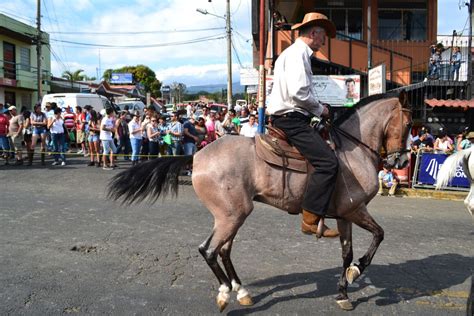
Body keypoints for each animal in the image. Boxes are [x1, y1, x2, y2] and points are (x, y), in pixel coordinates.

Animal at [106, 90, 412, 312]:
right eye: (409, 124)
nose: (402, 162)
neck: (353, 149)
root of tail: (197, 157)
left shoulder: (344, 214)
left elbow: (347, 252)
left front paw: (344, 290)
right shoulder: (356, 209)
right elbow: (379, 235)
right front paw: (357, 272)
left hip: (232, 215)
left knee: (224, 251)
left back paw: (241, 291)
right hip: (232, 215)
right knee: (209, 250)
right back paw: (225, 293)